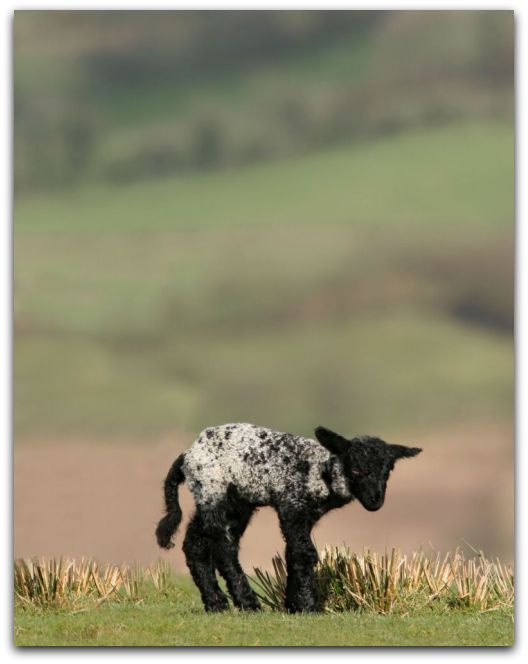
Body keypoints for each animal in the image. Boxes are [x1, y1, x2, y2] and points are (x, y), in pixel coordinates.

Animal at [155, 422, 422, 613]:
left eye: (388, 470)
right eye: (355, 468)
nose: (375, 500)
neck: (322, 472)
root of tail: (187, 454)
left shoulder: (306, 515)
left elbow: (293, 552)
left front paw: (293, 605)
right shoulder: (291, 505)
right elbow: (305, 552)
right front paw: (309, 606)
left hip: (231, 502)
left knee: (196, 543)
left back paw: (216, 603)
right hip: (214, 489)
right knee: (223, 548)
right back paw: (248, 603)